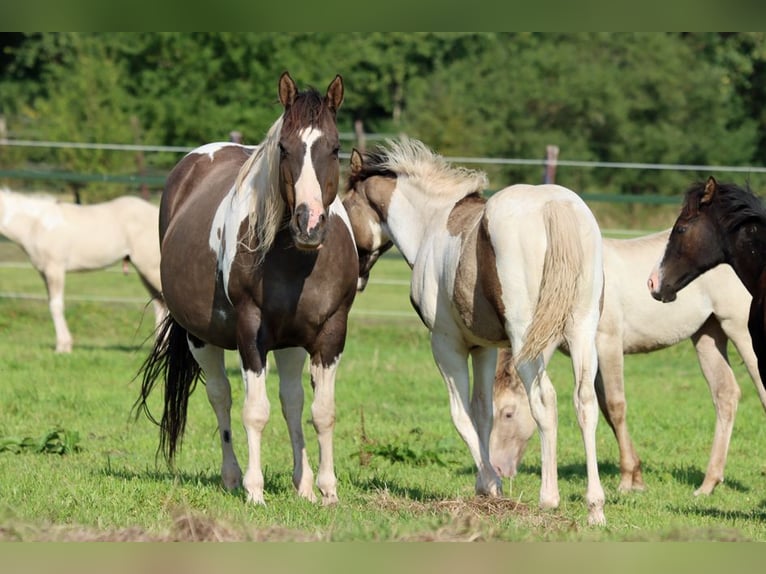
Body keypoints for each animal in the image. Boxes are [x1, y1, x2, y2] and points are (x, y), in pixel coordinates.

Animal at [0, 189, 166, 354]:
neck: (36, 225)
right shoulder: (44, 273)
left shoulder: (55, 269)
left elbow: (56, 306)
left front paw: (63, 347)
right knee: (159, 304)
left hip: (150, 269)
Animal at [135, 72, 360, 508]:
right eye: (284, 147)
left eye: (335, 147)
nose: (309, 224)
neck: (296, 260)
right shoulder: (250, 332)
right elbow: (255, 410)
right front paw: (256, 490)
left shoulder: (331, 332)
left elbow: (321, 412)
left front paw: (326, 490)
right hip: (201, 338)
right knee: (221, 397)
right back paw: (233, 477)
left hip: (291, 343)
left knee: (292, 400)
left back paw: (303, 484)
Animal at [344, 141, 608, 528]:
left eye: (346, 206)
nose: (357, 274)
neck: (432, 224)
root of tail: (554, 206)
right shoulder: (484, 349)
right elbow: (484, 412)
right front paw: (486, 484)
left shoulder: (446, 346)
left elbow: (461, 415)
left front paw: (490, 484)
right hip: (582, 330)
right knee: (585, 402)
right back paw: (595, 507)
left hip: (527, 340)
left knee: (545, 400)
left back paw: (549, 498)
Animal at [492, 230, 766, 500]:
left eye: (508, 413)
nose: (497, 468)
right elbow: (604, 407)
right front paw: (637, 477)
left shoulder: (608, 344)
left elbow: (616, 406)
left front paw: (626, 481)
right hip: (708, 334)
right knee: (725, 395)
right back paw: (708, 483)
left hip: (739, 329)